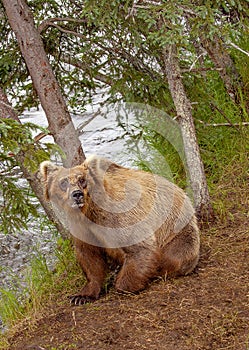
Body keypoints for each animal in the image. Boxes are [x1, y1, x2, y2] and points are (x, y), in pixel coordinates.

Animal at [40, 155, 200, 304]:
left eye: (82, 179)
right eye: (63, 182)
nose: (77, 194)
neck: (89, 212)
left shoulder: (119, 216)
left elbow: (141, 247)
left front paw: (123, 286)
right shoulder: (82, 229)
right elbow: (89, 256)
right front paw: (81, 296)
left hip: (178, 228)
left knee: (176, 255)